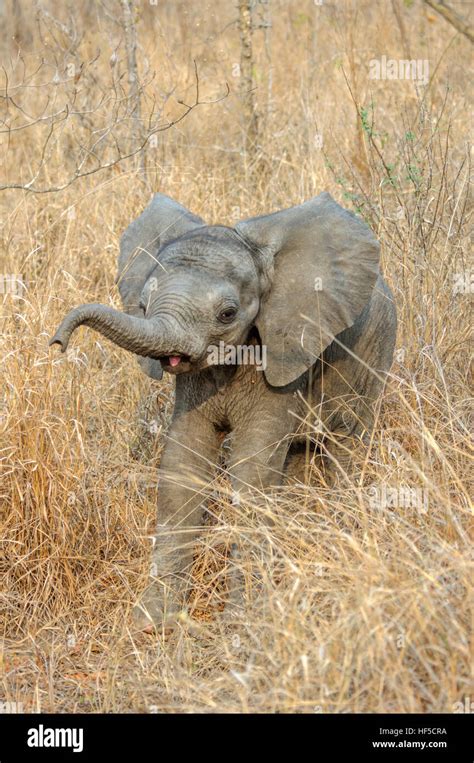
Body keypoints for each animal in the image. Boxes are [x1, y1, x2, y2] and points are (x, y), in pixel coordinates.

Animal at [49, 194, 396, 628]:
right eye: (142, 305)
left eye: (228, 314)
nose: (57, 343)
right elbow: (183, 465)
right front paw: (151, 622)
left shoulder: (285, 351)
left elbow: (252, 470)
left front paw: (241, 624)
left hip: (375, 357)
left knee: (348, 450)